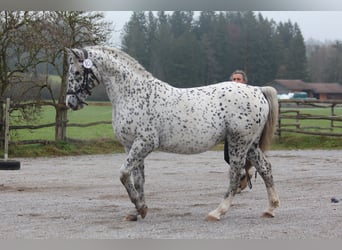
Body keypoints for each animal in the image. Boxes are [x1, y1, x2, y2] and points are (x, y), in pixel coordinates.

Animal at [65, 45, 280, 221]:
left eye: (76, 72)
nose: (70, 102)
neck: (133, 93)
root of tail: (257, 90)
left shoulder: (145, 143)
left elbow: (124, 174)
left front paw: (140, 206)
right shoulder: (131, 146)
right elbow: (138, 179)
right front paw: (138, 211)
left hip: (238, 143)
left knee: (235, 174)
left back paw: (217, 212)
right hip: (250, 145)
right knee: (265, 168)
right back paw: (271, 209)